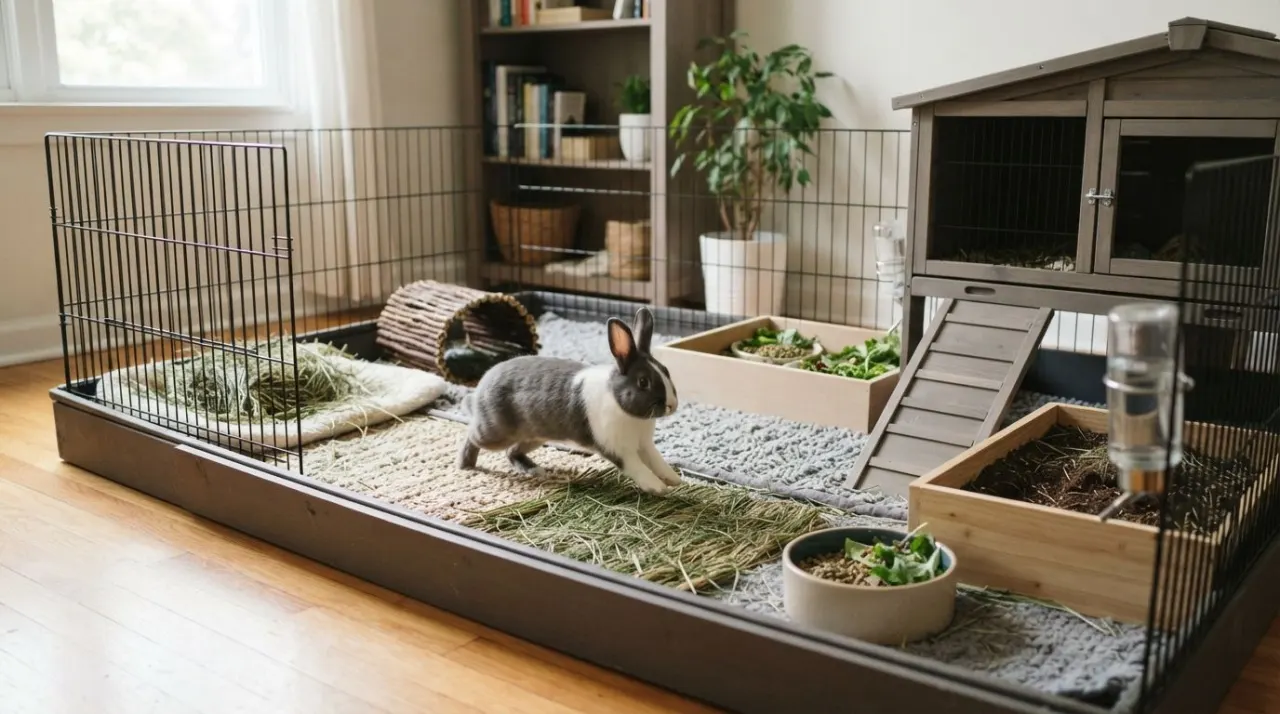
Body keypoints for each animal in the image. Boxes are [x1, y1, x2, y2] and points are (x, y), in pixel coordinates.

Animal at [456, 306, 683, 495]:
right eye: (643, 382)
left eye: (666, 370)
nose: (672, 405)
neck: (617, 399)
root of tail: (482, 384)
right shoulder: (617, 449)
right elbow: (637, 467)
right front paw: (656, 487)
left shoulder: (645, 445)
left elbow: (657, 461)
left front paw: (674, 479)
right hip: (495, 433)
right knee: (472, 436)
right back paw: (465, 464)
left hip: (535, 436)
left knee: (512, 452)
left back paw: (536, 471)